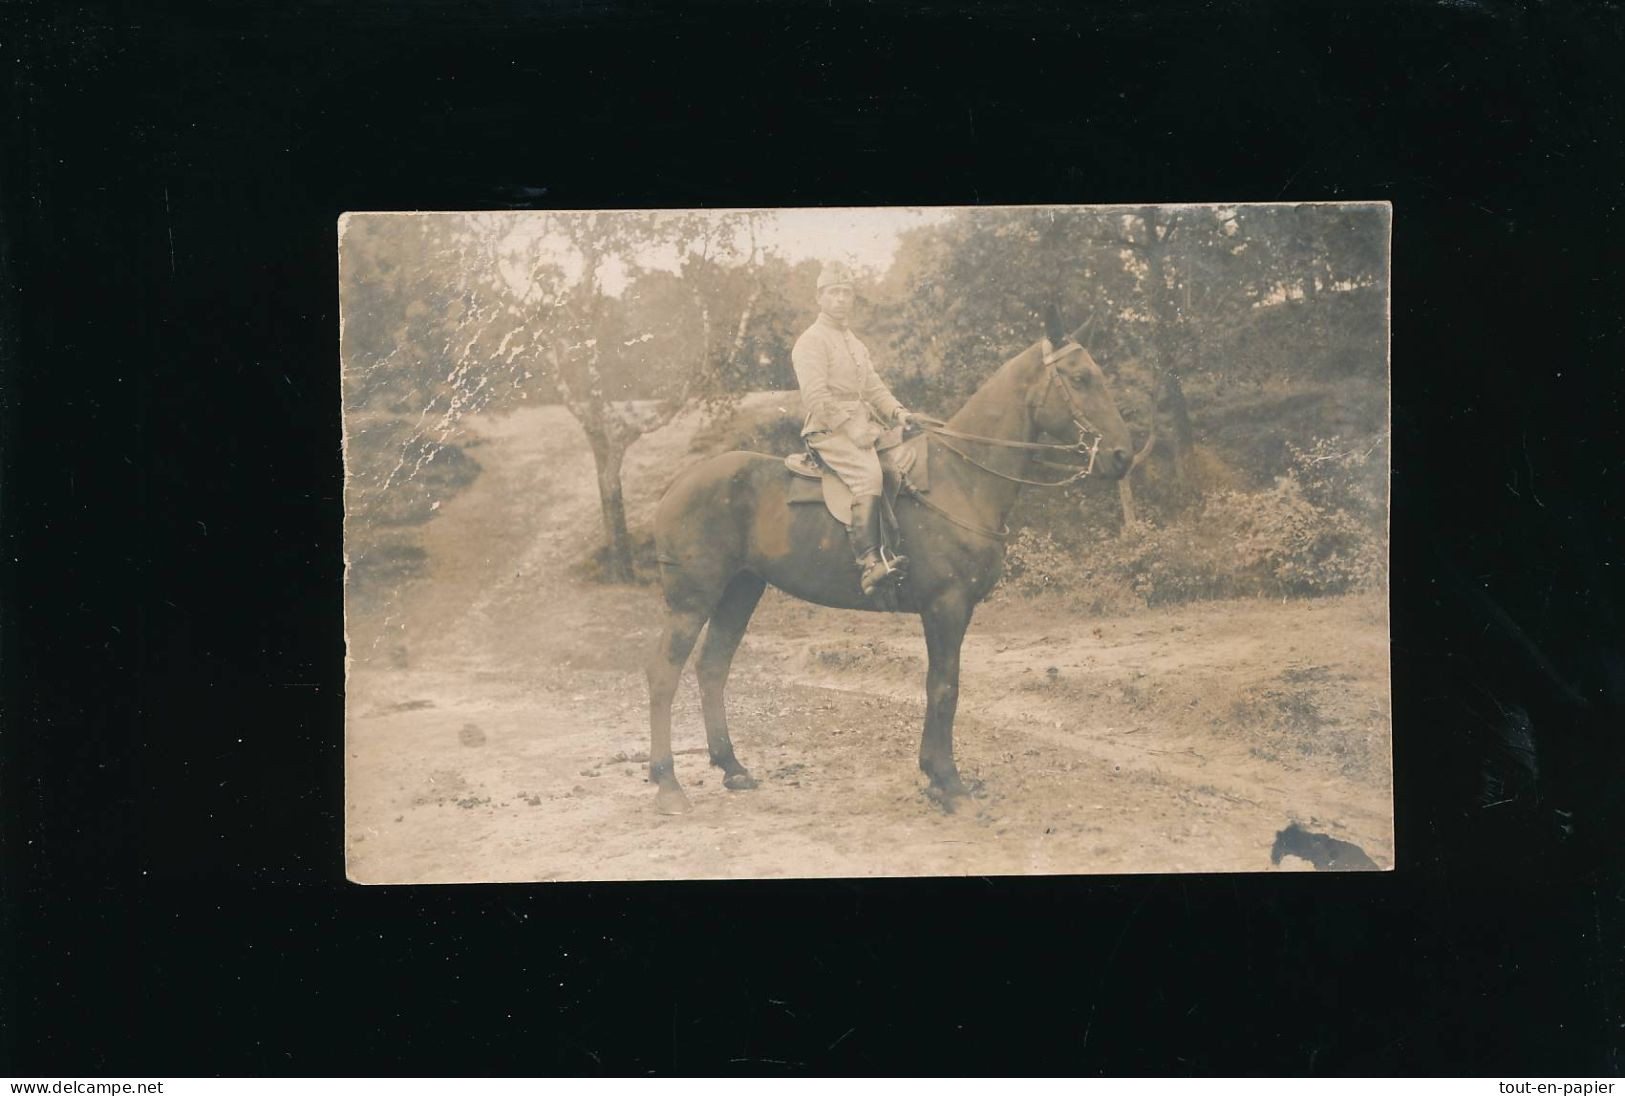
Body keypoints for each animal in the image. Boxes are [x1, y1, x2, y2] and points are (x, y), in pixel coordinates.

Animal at [643, 313, 1131, 809]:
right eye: (1080, 378)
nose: (1121, 456)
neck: (962, 477)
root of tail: (678, 485)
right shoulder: (946, 607)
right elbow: (944, 686)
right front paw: (948, 781)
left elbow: (942, 686)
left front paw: (935, 775)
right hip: (693, 600)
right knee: (665, 673)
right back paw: (668, 783)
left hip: (741, 591)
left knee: (712, 667)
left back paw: (732, 767)